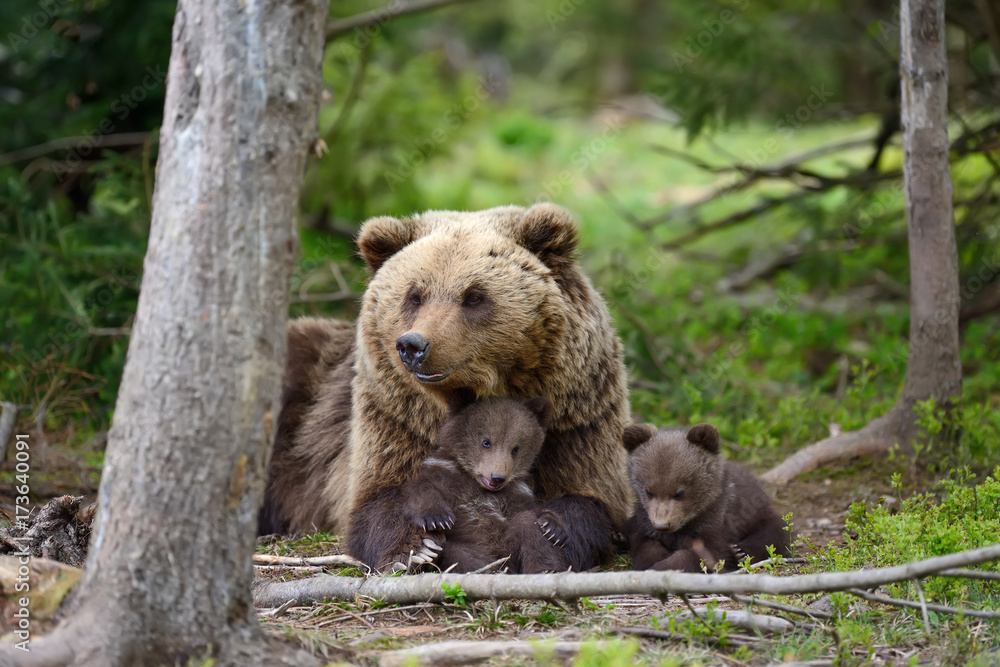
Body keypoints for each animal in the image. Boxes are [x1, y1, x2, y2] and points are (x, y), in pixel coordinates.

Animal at [260, 202, 632, 568]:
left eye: (474, 296)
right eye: (414, 296)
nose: (412, 345)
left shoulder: (576, 416)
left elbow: (590, 497)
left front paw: (552, 530)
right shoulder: (396, 417)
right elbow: (379, 498)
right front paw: (415, 546)